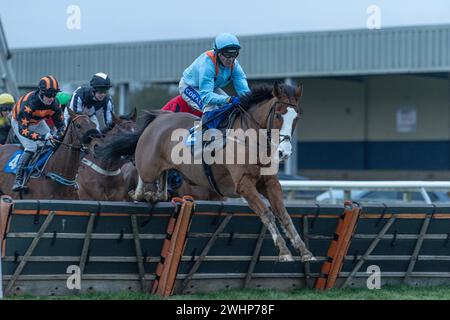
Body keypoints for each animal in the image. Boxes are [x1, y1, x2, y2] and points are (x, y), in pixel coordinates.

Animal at [99, 82, 316, 262]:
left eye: (296, 117)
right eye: (278, 114)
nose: (284, 152)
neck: (251, 139)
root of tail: (157, 119)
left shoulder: (269, 182)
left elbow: (284, 214)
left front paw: (305, 251)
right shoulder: (244, 184)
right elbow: (267, 214)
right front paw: (285, 252)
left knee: (161, 189)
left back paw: (155, 195)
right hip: (148, 167)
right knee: (140, 184)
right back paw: (141, 194)